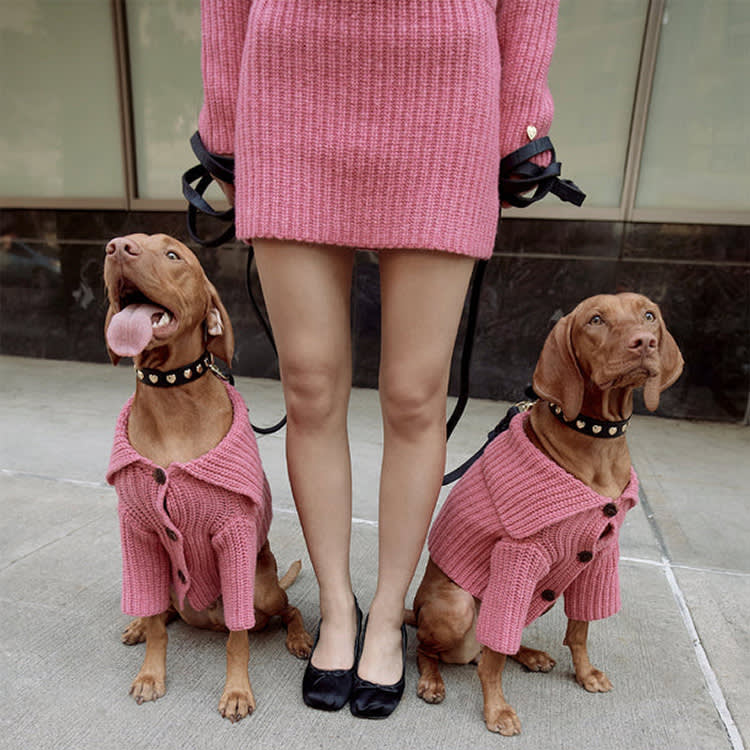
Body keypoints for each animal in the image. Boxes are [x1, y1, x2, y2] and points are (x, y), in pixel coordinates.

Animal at [102, 234, 312, 724]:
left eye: (173, 255)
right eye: (121, 244)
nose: (117, 247)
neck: (171, 400)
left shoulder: (232, 537)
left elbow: (239, 639)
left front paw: (236, 691)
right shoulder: (139, 535)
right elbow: (158, 627)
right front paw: (150, 674)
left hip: (261, 590)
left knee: (286, 611)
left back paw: (298, 638)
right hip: (170, 582)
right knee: (162, 610)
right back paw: (139, 623)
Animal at [412, 292, 688, 736]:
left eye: (649, 315)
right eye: (596, 320)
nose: (644, 342)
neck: (596, 442)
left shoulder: (600, 555)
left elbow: (579, 629)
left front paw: (585, 673)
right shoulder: (517, 555)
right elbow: (493, 658)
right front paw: (496, 709)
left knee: (488, 647)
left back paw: (528, 654)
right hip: (456, 608)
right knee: (436, 649)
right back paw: (432, 681)